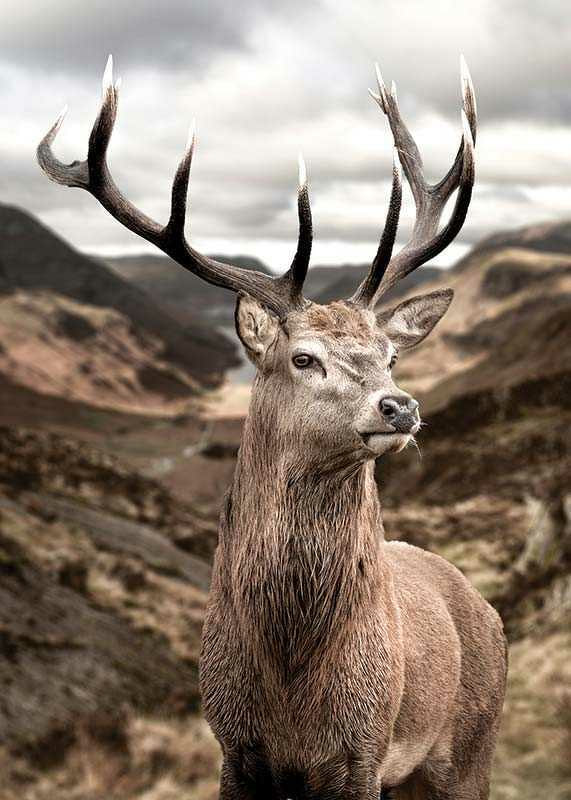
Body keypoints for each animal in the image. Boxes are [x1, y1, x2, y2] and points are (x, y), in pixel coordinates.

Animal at [38, 55, 507, 800]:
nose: (399, 406)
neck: (290, 688)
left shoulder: (362, 751)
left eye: (390, 355)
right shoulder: (232, 745)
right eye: (303, 357)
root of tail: (485, 607)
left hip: (468, 749)